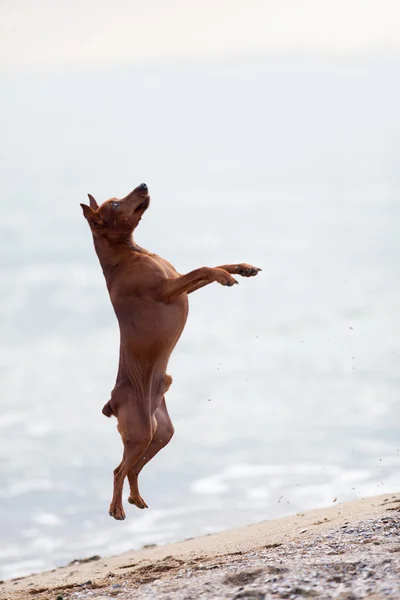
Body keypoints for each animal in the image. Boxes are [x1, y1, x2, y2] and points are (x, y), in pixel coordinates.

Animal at [81, 183, 262, 520]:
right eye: (115, 204)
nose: (143, 185)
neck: (130, 252)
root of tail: (112, 402)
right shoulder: (167, 290)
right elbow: (205, 268)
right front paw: (227, 276)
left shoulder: (179, 284)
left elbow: (211, 266)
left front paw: (241, 268)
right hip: (140, 433)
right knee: (118, 470)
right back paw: (116, 507)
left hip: (160, 434)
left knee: (132, 469)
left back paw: (135, 498)